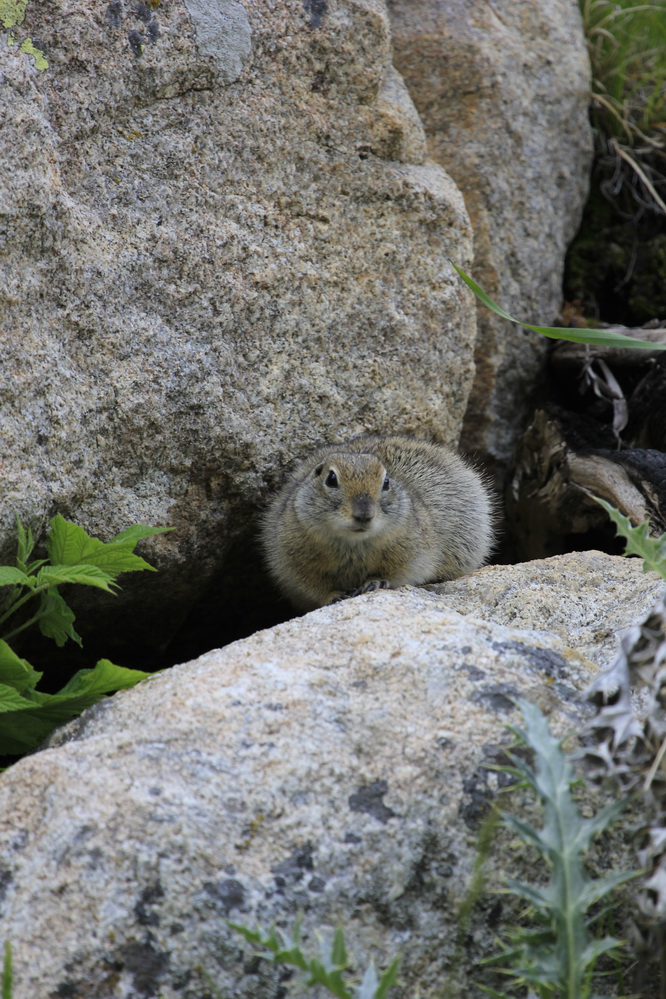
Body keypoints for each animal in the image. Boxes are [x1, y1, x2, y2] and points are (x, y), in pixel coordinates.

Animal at [260, 436, 492, 612]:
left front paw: (375, 582)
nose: (364, 514)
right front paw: (336, 595)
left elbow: (398, 574)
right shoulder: (292, 565)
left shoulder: (413, 556)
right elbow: (313, 586)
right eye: (331, 479)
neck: (353, 544)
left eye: (386, 482)